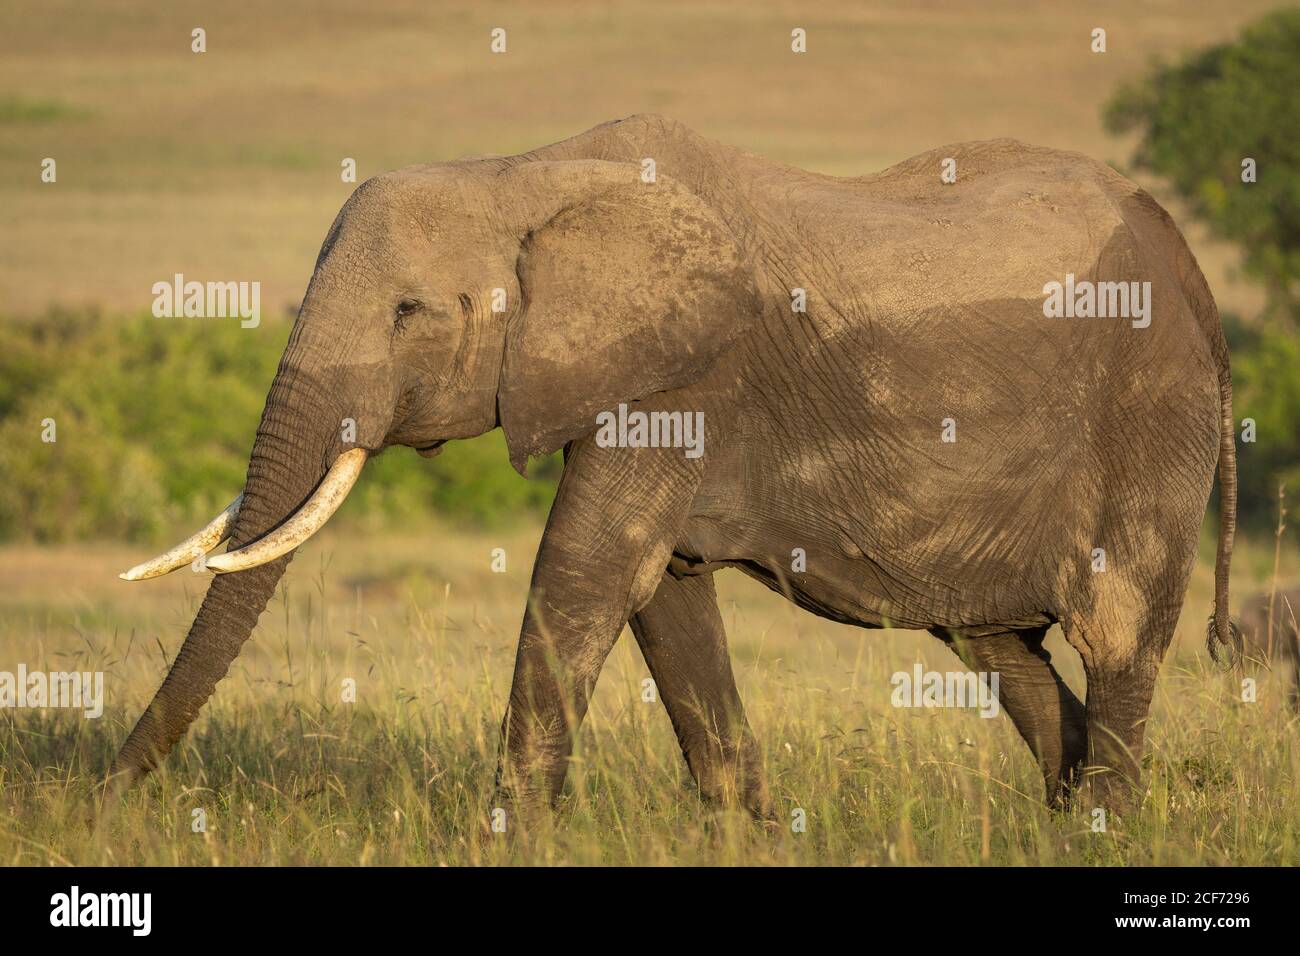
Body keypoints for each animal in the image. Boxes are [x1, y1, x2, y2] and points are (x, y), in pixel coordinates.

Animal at [111, 110, 1237, 816]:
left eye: (409, 312)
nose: (105, 795)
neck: (528, 171)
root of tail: (1190, 266)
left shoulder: (683, 376)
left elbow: (585, 569)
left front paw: (509, 837)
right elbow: (662, 596)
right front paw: (751, 832)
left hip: (1152, 415)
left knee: (1116, 632)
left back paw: (1109, 827)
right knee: (999, 644)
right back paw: (1069, 818)